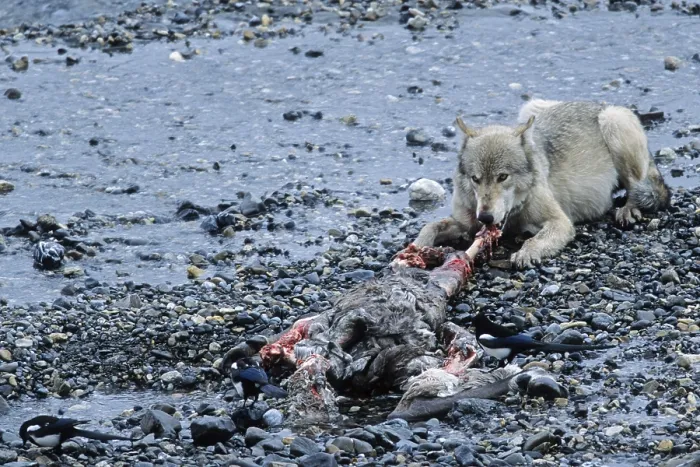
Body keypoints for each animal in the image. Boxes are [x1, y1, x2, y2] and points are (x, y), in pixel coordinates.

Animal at [414, 99, 671, 268]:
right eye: (476, 179)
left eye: (502, 177)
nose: (485, 217)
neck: (514, 218)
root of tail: (598, 104)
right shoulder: (464, 224)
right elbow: (430, 226)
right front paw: (416, 248)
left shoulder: (561, 223)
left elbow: (536, 240)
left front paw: (526, 252)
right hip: (530, 108)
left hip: (613, 124)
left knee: (643, 188)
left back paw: (628, 208)